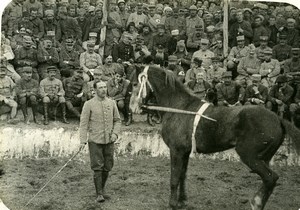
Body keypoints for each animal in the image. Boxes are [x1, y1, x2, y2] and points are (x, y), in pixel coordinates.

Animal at [140, 65, 300, 210]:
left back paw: (256, 203)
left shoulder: (176, 151)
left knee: (270, 178)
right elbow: (182, 176)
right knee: (270, 179)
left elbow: (174, 178)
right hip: (263, 158)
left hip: (250, 156)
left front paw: (173, 204)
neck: (180, 108)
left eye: (141, 80)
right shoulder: (184, 152)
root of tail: (277, 118)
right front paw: (182, 201)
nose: (140, 104)